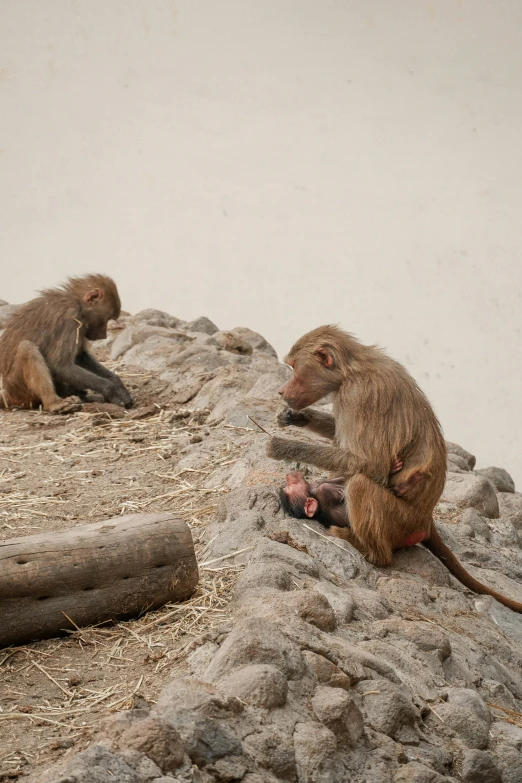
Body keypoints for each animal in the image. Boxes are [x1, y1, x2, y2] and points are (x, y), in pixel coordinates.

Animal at [0, 274, 132, 414]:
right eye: (107, 319)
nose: (103, 336)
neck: (76, 302)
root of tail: (8, 393)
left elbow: (80, 357)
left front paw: (118, 384)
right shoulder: (71, 318)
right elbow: (60, 365)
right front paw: (111, 391)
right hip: (19, 387)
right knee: (27, 347)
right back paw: (54, 403)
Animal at [268, 324, 520, 612]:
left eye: (294, 368)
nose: (281, 392)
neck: (351, 371)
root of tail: (425, 519)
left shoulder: (357, 396)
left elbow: (370, 464)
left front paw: (282, 446)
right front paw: (294, 417)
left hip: (400, 520)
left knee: (360, 485)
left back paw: (368, 550)